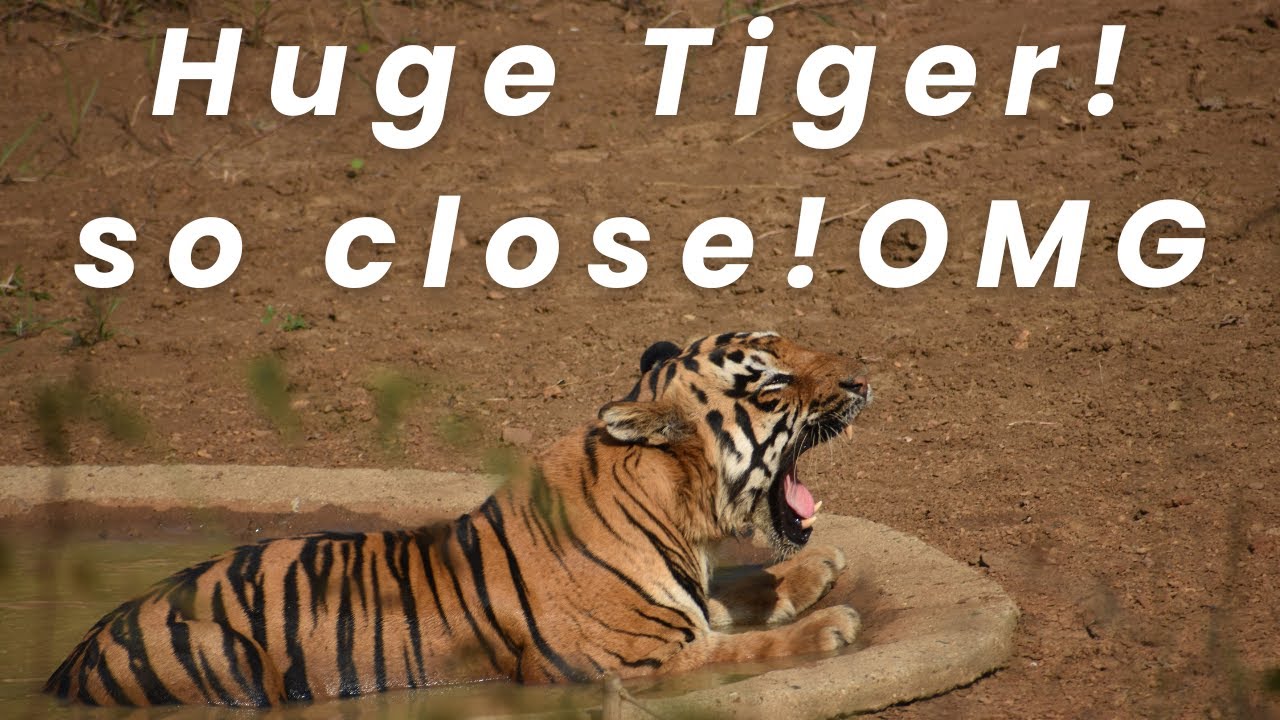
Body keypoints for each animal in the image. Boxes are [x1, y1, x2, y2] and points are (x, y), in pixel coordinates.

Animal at [45, 331, 872, 707]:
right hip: (226, 658)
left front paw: (814, 570)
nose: (864, 379)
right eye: (771, 383)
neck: (676, 514)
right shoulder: (628, 662)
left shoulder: (690, 603)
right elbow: (738, 647)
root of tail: (65, 664)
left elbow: (737, 593)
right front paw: (829, 626)